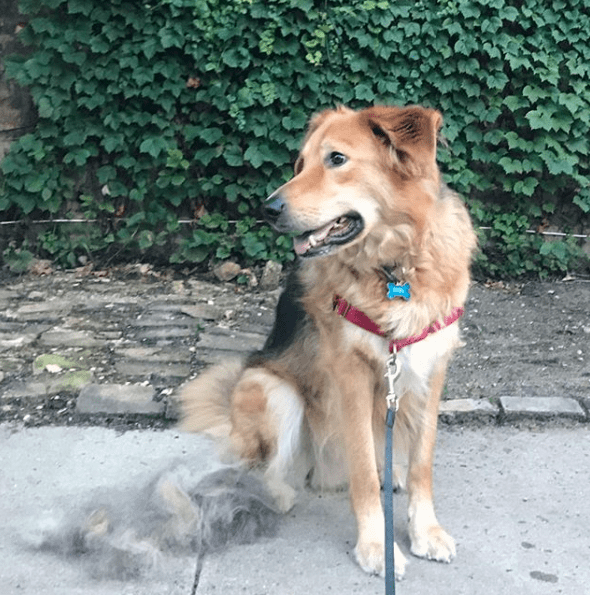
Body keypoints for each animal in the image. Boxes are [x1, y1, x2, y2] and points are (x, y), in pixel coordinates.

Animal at [183, 105, 478, 580]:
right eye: (300, 164)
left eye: (336, 159)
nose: (268, 209)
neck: (396, 267)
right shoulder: (349, 372)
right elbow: (361, 470)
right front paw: (377, 547)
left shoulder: (431, 368)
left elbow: (422, 463)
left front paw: (426, 531)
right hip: (270, 388)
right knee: (263, 467)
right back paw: (279, 492)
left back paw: (388, 470)